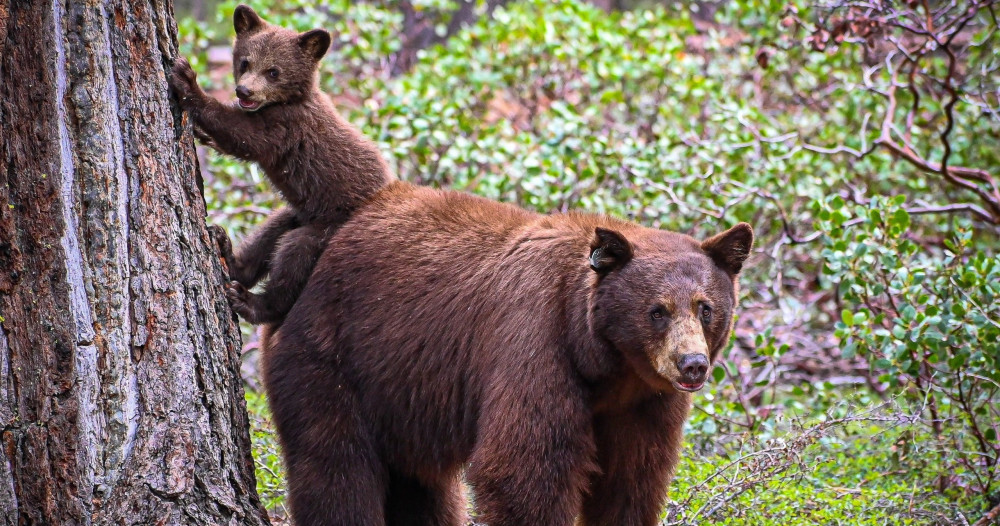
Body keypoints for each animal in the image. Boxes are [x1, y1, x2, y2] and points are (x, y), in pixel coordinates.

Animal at [262, 183, 752, 526]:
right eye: (657, 310)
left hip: (401, 394)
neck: (606, 365)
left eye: (706, 307)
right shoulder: (535, 342)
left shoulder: (646, 401)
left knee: (421, 488)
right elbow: (525, 470)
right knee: (336, 465)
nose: (692, 364)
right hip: (329, 358)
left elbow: (631, 480)